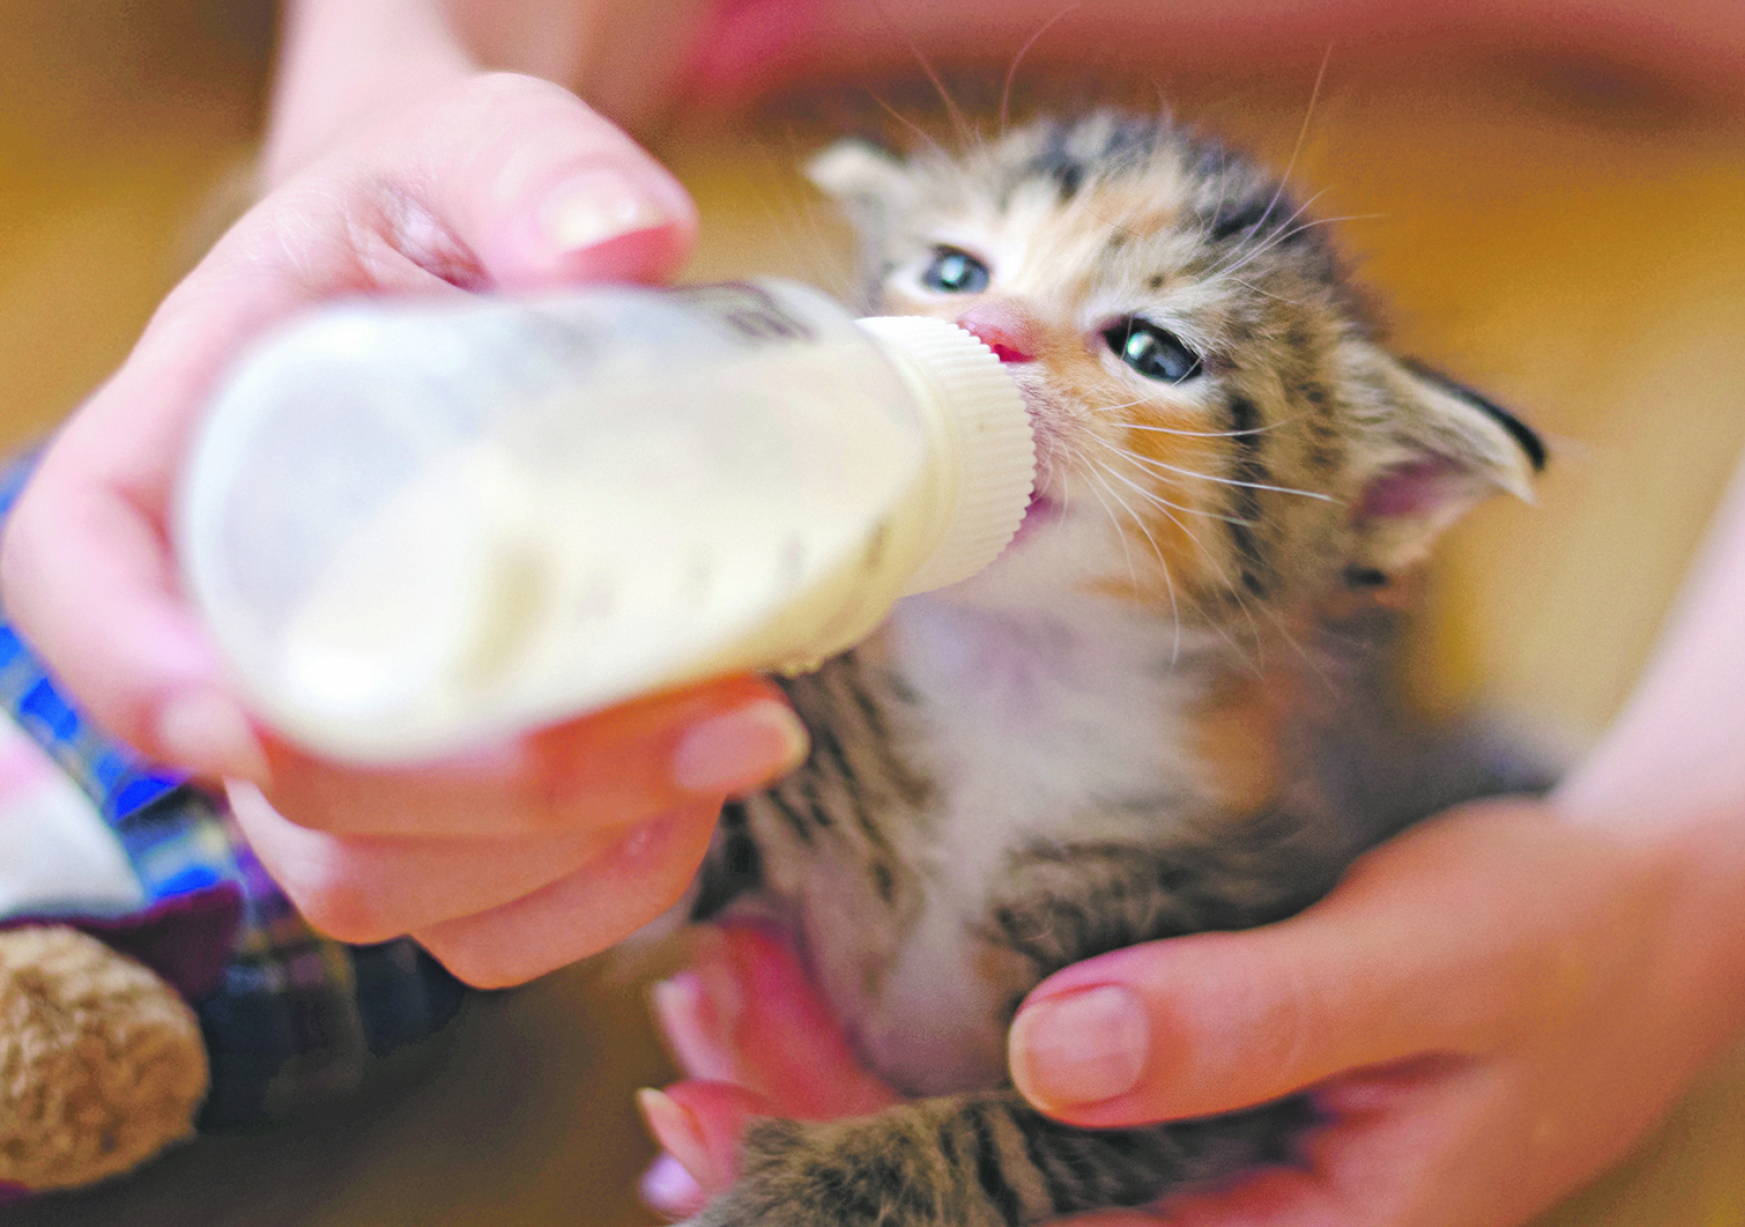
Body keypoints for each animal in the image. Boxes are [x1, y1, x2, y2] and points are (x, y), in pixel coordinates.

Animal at [673, 110, 1549, 1221]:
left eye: (1151, 350)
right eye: (953, 271)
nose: (984, 330)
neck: (1015, 672)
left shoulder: (1205, 1050)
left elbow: (1011, 1140)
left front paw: (815, 1190)